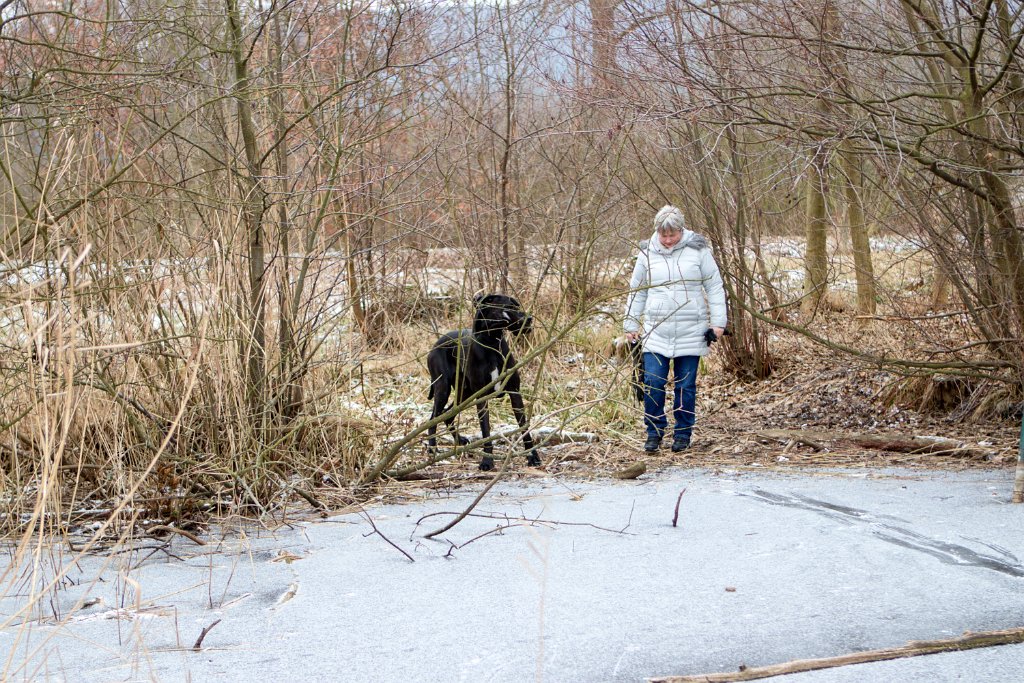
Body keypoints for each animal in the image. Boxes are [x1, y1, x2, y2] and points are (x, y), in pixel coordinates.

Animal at [428, 294, 544, 471]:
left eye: (516, 306)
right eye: (508, 307)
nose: (529, 319)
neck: (492, 344)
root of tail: (435, 345)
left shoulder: (515, 393)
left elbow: (524, 427)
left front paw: (533, 456)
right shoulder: (481, 399)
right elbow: (486, 430)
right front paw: (487, 461)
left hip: (464, 393)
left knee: (447, 415)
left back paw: (459, 441)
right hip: (443, 388)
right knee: (433, 418)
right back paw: (432, 448)